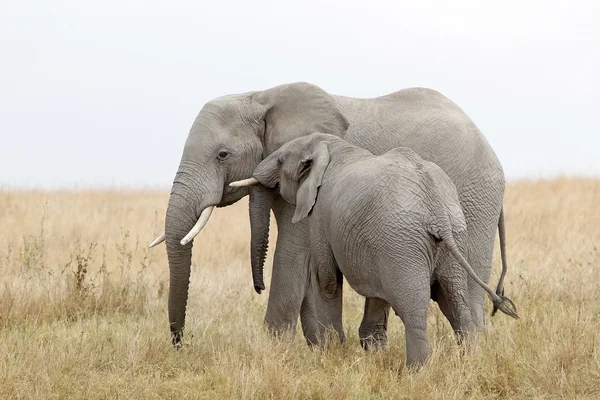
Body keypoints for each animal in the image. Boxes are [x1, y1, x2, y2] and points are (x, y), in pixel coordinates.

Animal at [148, 81, 508, 346]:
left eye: (222, 155)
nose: (180, 344)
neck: (261, 95)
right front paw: (324, 348)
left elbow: (292, 254)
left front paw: (271, 351)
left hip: (474, 200)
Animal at [230, 133, 516, 368]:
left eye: (280, 160)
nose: (259, 288)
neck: (329, 145)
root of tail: (435, 206)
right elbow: (376, 292)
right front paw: (370, 352)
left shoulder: (320, 215)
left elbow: (327, 280)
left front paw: (333, 353)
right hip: (448, 238)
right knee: (455, 301)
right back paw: (472, 364)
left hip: (405, 243)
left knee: (414, 308)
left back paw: (417, 372)